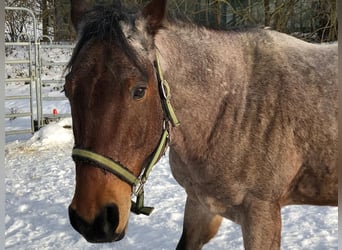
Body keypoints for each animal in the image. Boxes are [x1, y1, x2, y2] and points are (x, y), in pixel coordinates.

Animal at [65, 0, 338, 249]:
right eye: (67, 89)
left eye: (139, 91)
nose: (93, 220)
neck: (235, 107)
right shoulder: (201, 205)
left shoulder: (262, 214)